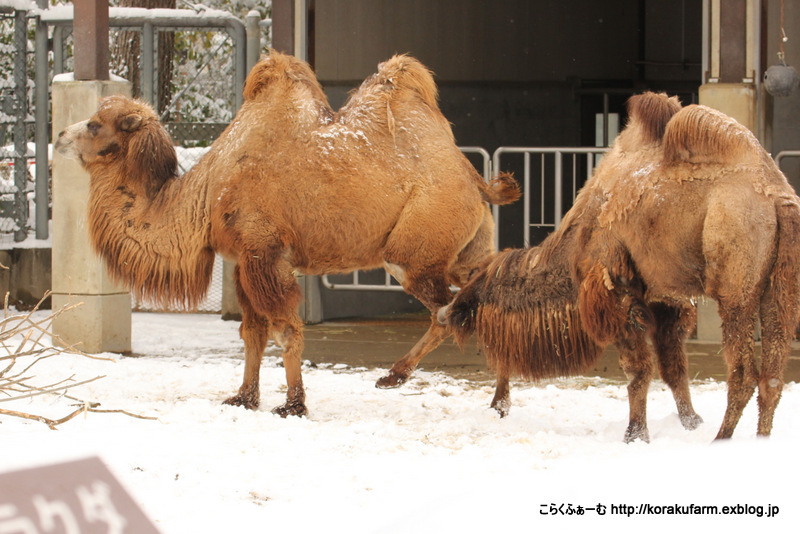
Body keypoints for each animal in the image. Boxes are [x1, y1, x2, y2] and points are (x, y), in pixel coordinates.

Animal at [54, 51, 520, 418]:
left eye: (95, 125)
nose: (59, 135)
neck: (206, 194)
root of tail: (474, 178)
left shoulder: (264, 252)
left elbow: (285, 330)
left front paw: (293, 404)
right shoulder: (242, 261)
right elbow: (253, 334)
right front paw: (243, 398)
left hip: (412, 251)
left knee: (447, 311)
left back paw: (395, 376)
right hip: (464, 249)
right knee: (488, 298)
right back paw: (497, 402)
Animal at [444, 93, 800, 444]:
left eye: (492, 345)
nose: (497, 406)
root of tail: (777, 197)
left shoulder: (616, 292)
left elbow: (638, 370)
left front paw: (635, 434)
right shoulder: (664, 298)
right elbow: (674, 369)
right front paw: (690, 422)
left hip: (736, 289)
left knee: (743, 372)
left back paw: (721, 439)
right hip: (779, 289)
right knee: (772, 376)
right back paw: (760, 439)